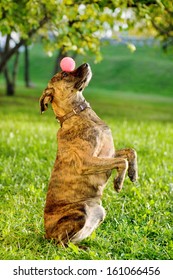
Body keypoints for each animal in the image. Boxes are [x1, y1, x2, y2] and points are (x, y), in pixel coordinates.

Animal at [39, 63, 138, 245]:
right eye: (64, 74)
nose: (86, 64)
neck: (77, 113)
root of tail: (46, 235)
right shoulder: (87, 162)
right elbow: (123, 161)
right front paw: (118, 182)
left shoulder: (108, 154)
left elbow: (130, 152)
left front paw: (133, 174)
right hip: (80, 212)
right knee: (61, 243)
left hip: (99, 211)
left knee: (72, 240)